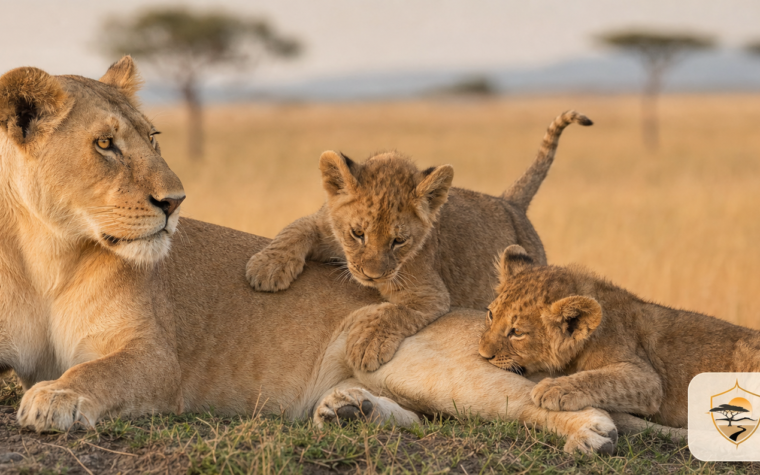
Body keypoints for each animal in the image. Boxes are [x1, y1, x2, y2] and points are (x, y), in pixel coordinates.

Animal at [246, 111, 592, 372]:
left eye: (398, 241)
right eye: (358, 233)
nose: (371, 275)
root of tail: (510, 202)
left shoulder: (431, 293)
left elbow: (395, 311)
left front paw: (366, 344)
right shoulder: (324, 226)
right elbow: (295, 228)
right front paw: (267, 268)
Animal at [478, 244, 760, 428]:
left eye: (516, 332)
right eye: (490, 314)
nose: (482, 355)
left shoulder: (648, 379)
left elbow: (602, 378)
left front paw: (555, 388)